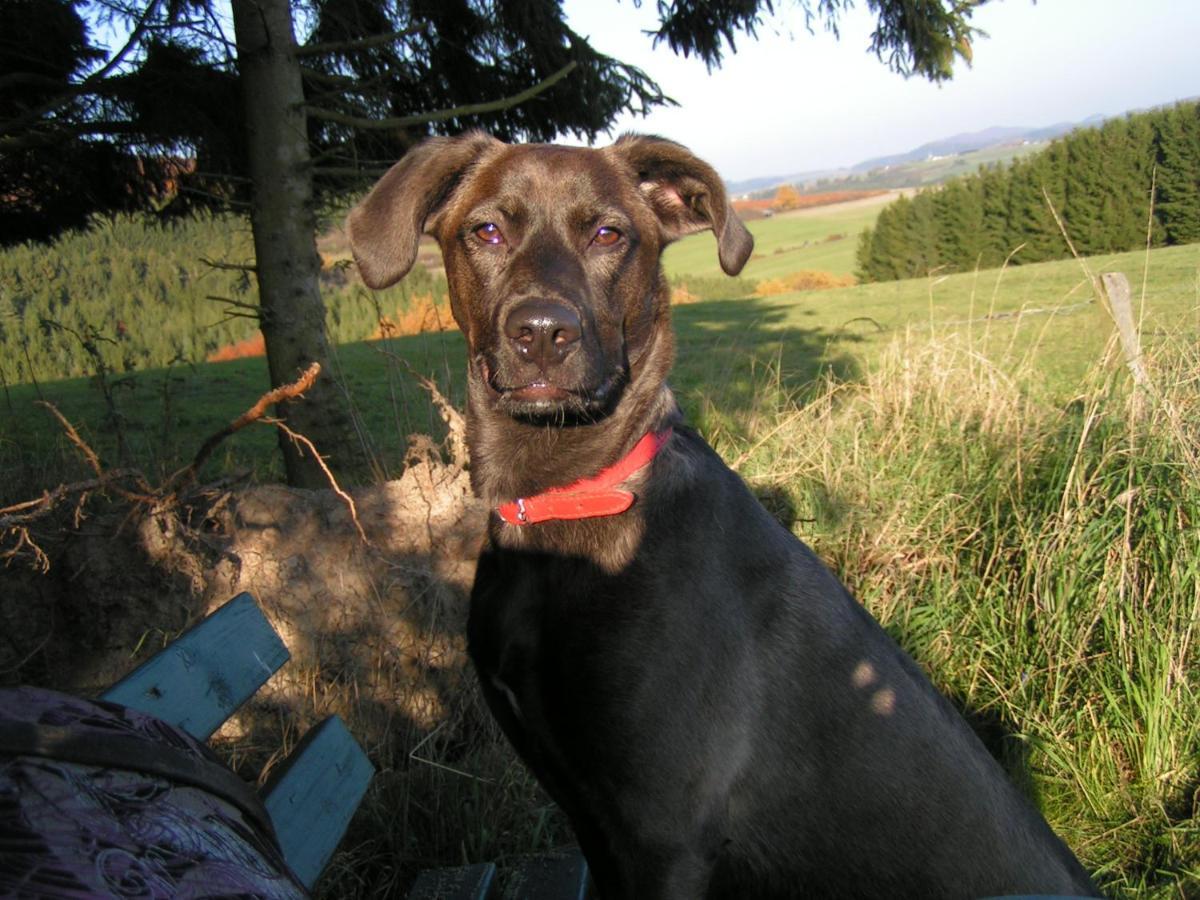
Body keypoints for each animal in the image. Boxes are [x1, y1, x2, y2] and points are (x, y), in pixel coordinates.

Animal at [348, 133, 1099, 900]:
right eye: (487, 231)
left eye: (609, 234)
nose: (543, 334)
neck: (568, 495)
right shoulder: (586, 813)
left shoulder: (662, 834)